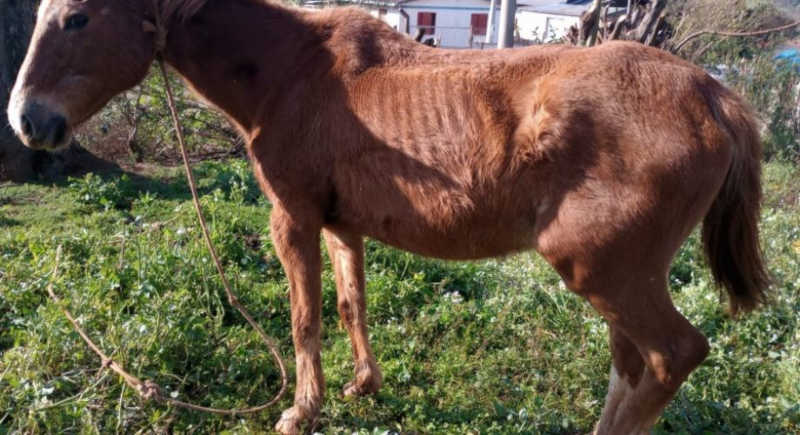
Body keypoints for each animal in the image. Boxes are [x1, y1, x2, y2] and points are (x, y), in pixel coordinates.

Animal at [6, 1, 768, 434]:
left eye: (76, 17)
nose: (27, 121)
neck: (294, 70)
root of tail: (713, 93)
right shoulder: (342, 224)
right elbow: (351, 303)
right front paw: (362, 386)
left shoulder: (293, 218)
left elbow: (305, 317)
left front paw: (299, 411)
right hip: (619, 281)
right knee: (631, 367)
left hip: (604, 273)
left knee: (671, 356)